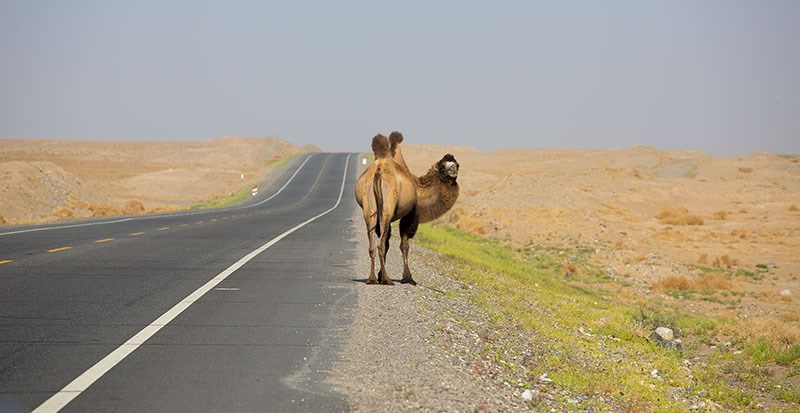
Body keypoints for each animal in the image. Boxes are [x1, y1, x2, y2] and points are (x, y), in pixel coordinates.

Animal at [354, 131, 460, 284]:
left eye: (457, 165)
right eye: (442, 167)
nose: (453, 170)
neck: (419, 190)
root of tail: (378, 172)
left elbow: (388, 242)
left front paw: (380, 274)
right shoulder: (410, 215)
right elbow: (404, 245)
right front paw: (408, 277)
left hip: (370, 209)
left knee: (373, 243)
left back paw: (372, 278)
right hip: (387, 209)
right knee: (381, 245)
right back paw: (386, 279)